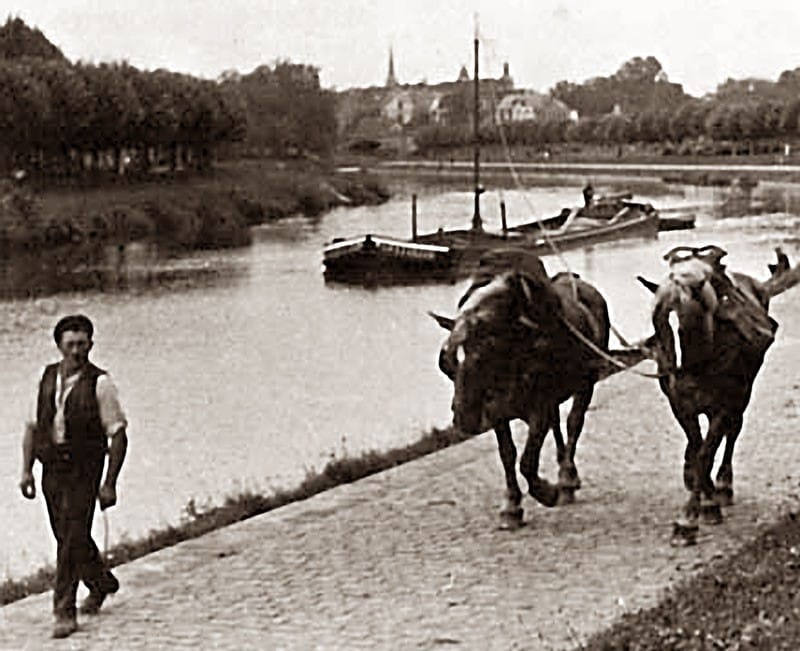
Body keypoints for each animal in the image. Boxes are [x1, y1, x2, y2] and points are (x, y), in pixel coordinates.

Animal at [432, 250, 612, 528]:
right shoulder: (497, 411)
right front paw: (511, 506)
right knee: (557, 425)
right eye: (446, 364)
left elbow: (527, 460)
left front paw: (546, 491)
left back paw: (567, 479)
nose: (464, 418)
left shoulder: (540, 405)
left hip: (586, 382)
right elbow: (508, 454)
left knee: (574, 422)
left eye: (486, 352)